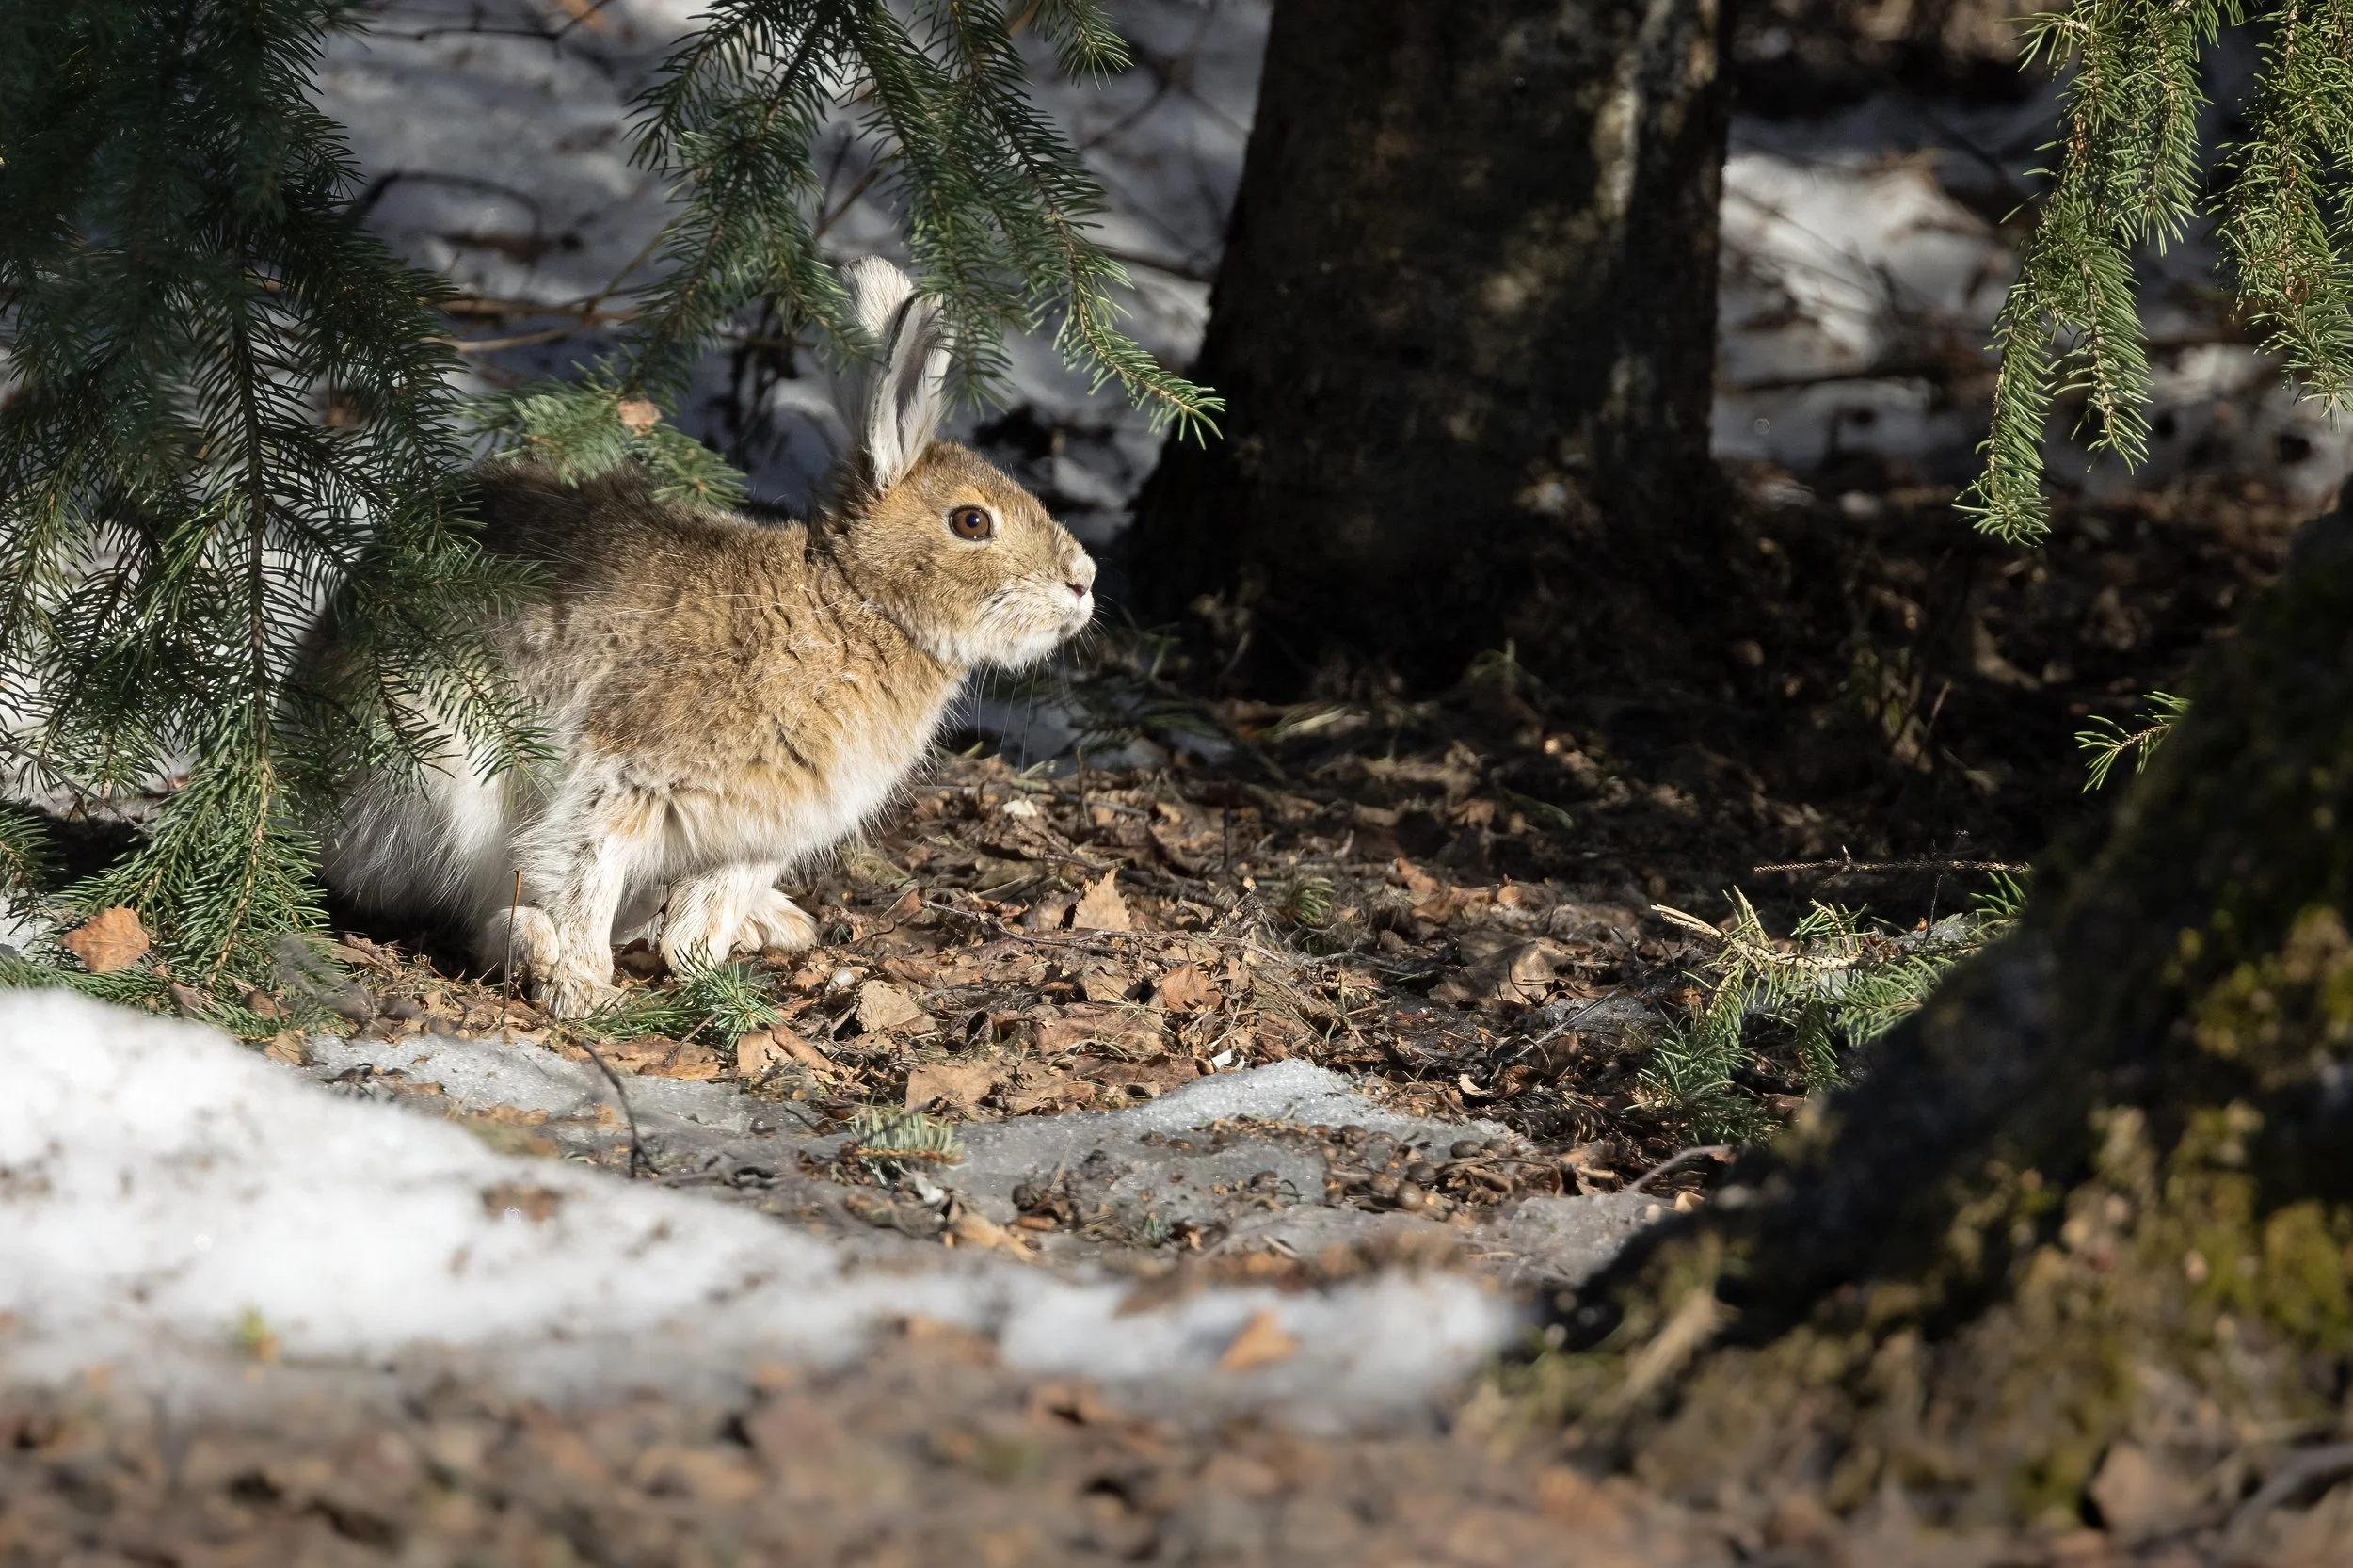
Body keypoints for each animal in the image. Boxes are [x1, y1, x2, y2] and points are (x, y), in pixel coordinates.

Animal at [318, 257, 1097, 1018]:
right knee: (472, 907)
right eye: (972, 522)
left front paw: (699, 961)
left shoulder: (755, 838)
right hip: (443, 773)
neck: (851, 601)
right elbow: (583, 871)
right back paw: (538, 950)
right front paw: (583, 982)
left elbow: (706, 913)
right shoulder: (621, 777)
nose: (1083, 581)